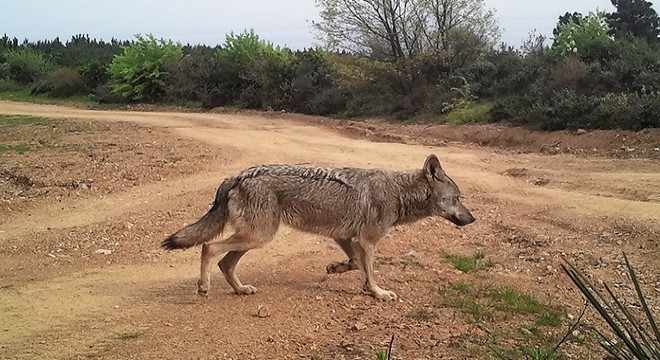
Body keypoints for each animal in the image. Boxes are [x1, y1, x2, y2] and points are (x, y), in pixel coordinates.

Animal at [163, 154, 476, 300]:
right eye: (457, 199)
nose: (472, 219)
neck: (399, 192)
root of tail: (237, 175)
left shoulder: (346, 238)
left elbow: (356, 264)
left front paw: (337, 269)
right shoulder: (367, 241)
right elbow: (370, 271)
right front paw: (378, 293)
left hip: (255, 238)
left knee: (225, 263)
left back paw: (241, 290)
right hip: (258, 236)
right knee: (209, 247)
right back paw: (203, 288)